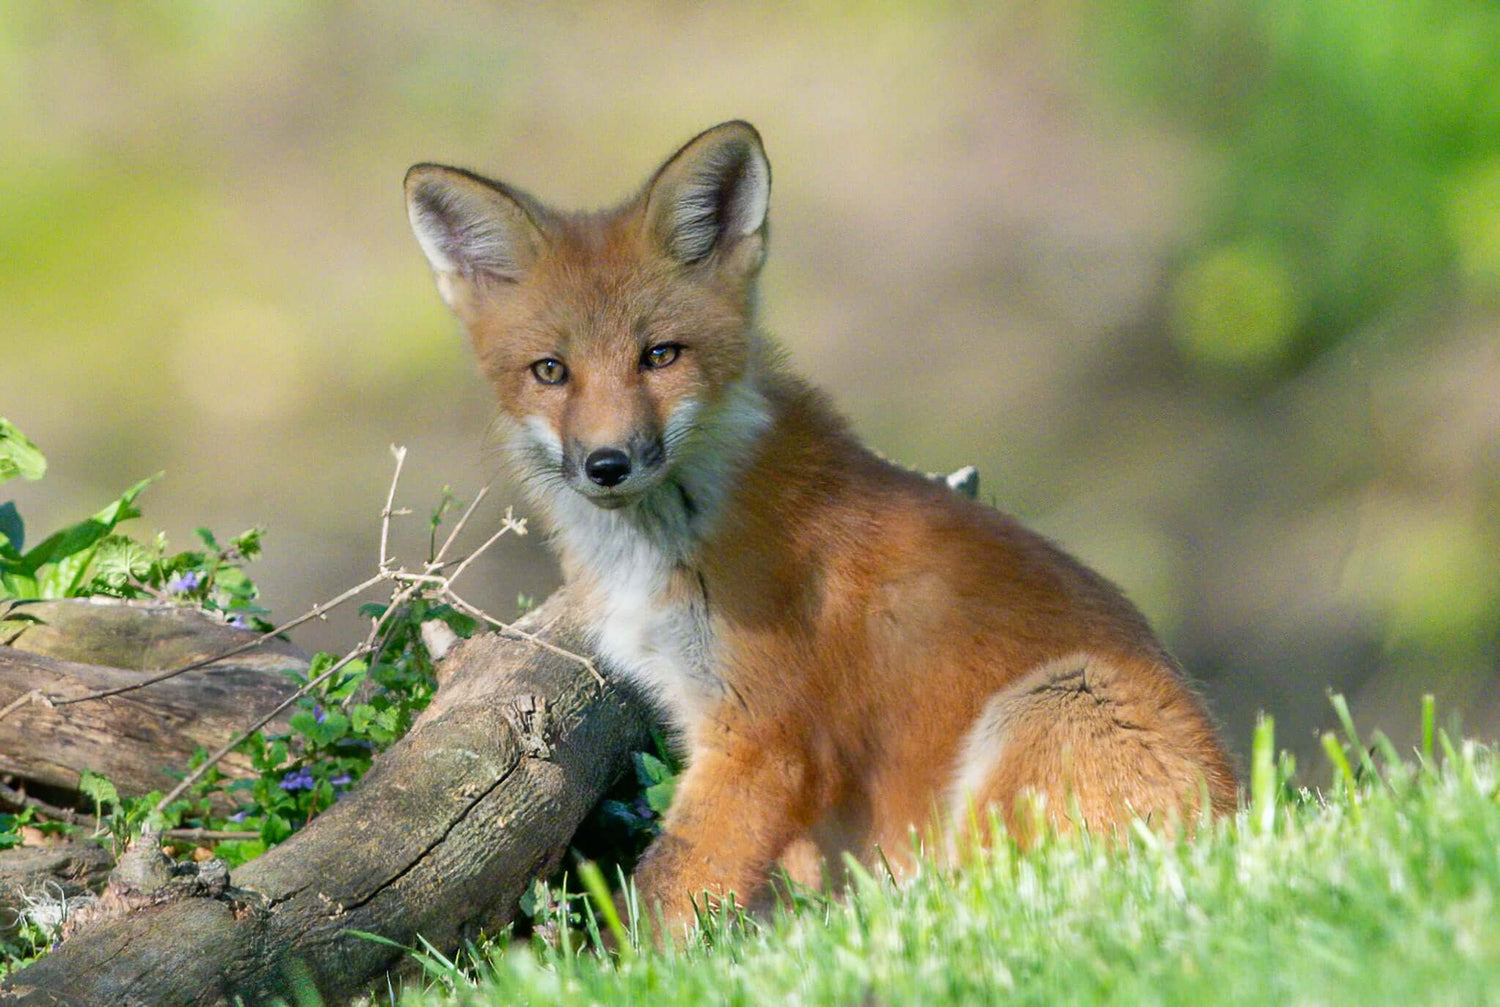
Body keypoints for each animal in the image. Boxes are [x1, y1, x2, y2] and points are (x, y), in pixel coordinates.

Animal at [405, 122, 1236, 942]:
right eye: (550, 371)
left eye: (660, 356)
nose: (607, 463)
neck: (669, 539)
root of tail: (1237, 810)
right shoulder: (713, 721)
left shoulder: (766, 740)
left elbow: (661, 901)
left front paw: (628, 965)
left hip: (1051, 702)